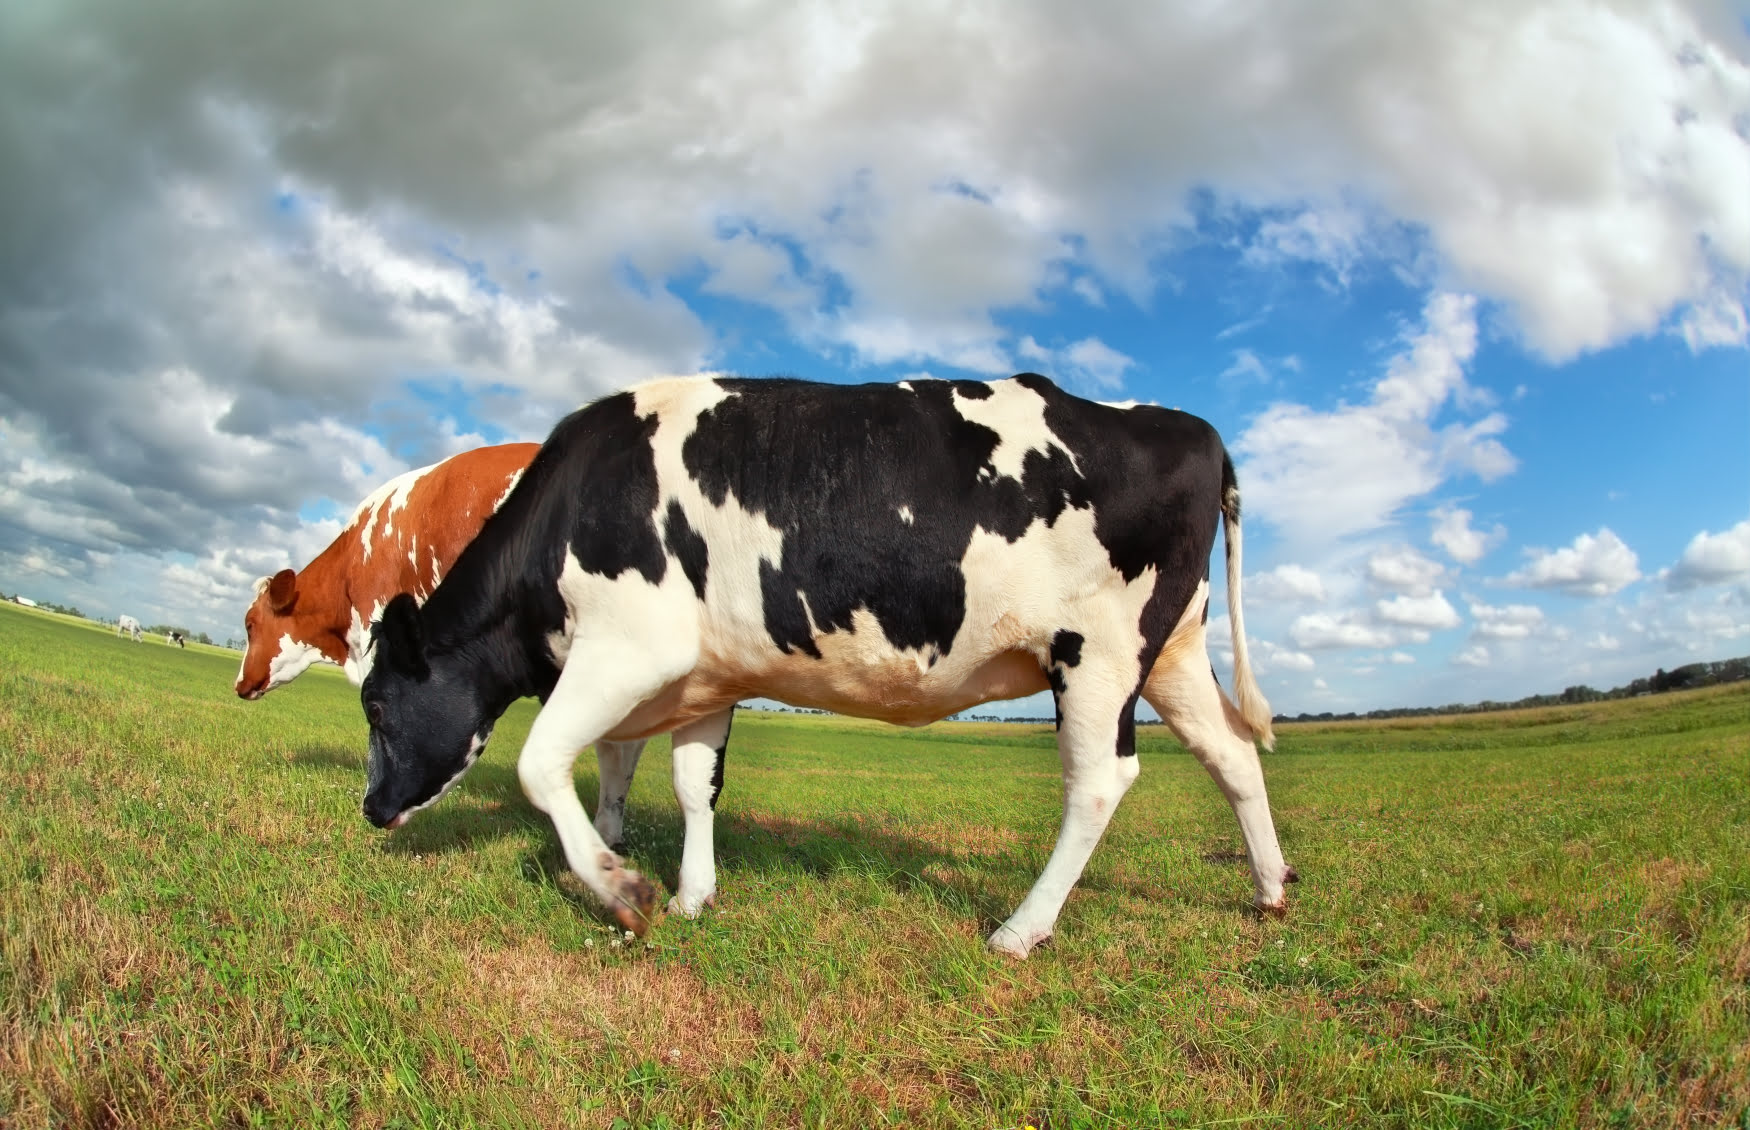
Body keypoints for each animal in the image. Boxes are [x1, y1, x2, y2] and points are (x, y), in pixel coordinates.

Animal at [362, 376, 1295, 958]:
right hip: (1171, 652)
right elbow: (694, 783)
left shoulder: (632, 646)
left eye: (374, 704)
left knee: (1099, 783)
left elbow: (540, 763)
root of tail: (1189, 424)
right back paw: (1271, 889)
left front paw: (623, 888)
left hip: (1098, 653)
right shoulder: (706, 675)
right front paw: (696, 894)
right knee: (1233, 754)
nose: (370, 810)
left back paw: (1020, 930)